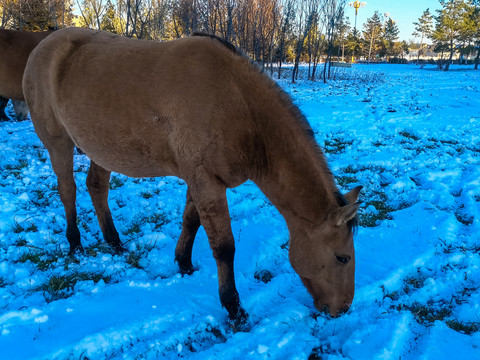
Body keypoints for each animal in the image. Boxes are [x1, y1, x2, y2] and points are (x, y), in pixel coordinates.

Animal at [21, 27, 360, 326]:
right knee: (68, 189)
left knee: (96, 187)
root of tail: (42, 46)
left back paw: (115, 243)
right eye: (342, 257)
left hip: (101, 149)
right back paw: (75, 244)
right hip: (59, 143)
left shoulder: (200, 181)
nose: (342, 309)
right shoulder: (205, 182)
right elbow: (224, 248)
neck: (237, 105)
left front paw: (184, 264)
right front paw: (234, 309)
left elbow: (191, 221)